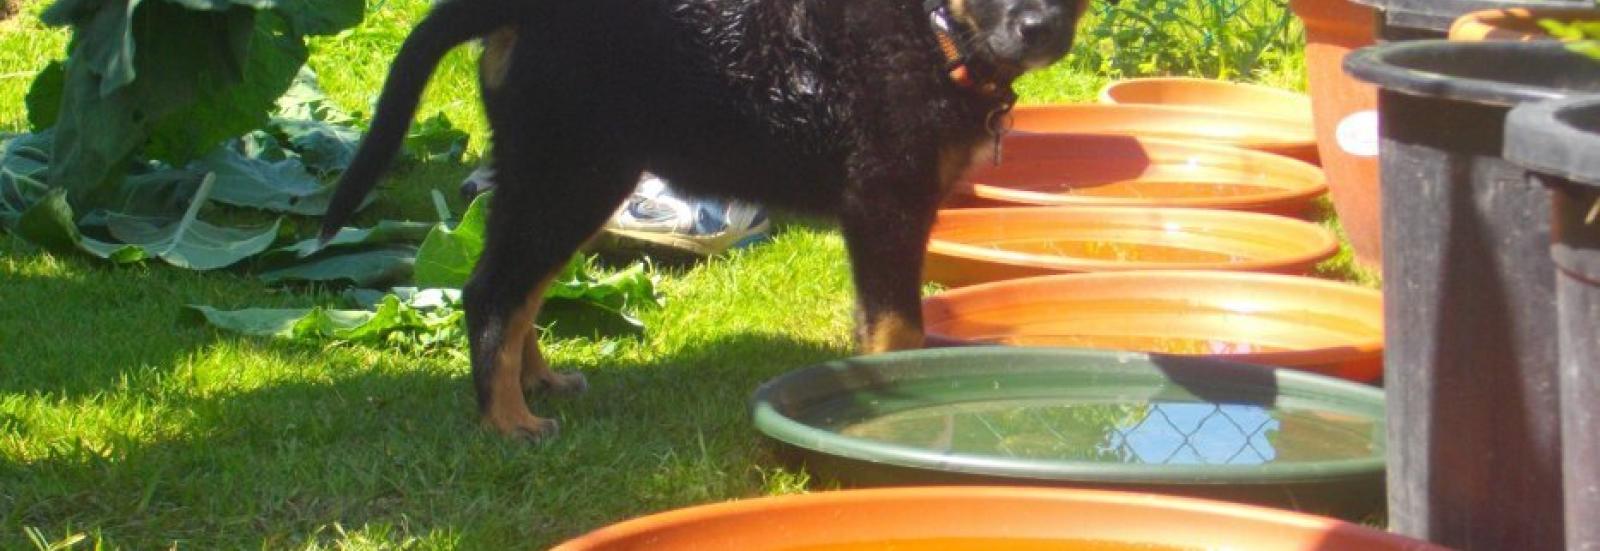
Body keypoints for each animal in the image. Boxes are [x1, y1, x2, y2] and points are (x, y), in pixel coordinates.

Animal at [321, 0, 1094, 441]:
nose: (1040, 29)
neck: (935, 34)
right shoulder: (885, 202)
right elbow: (897, 327)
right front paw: (904, 395)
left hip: (555, 175)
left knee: (518, 288)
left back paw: (537, 382)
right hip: (574, 171)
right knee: (493, 290)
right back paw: (506, 419)